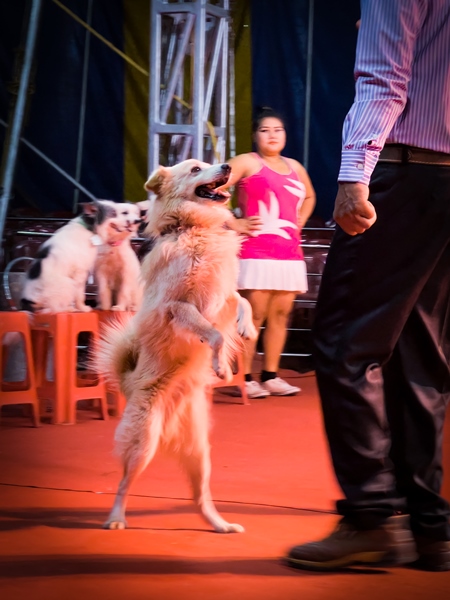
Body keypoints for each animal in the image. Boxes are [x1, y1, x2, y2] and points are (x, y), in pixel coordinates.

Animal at [95, 159, 256, 536]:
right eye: (196, 168)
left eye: (209, 163)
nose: (227, 165)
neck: (192, 228)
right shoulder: (178, 308)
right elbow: (213, 335)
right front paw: (221, 368)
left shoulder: (219, 295)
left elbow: (241, 301)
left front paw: (247, 327)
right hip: (143, 443)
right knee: (123, 483)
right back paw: (115, 518)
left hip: (200, 453)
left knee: (199, 497)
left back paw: (220, 525)